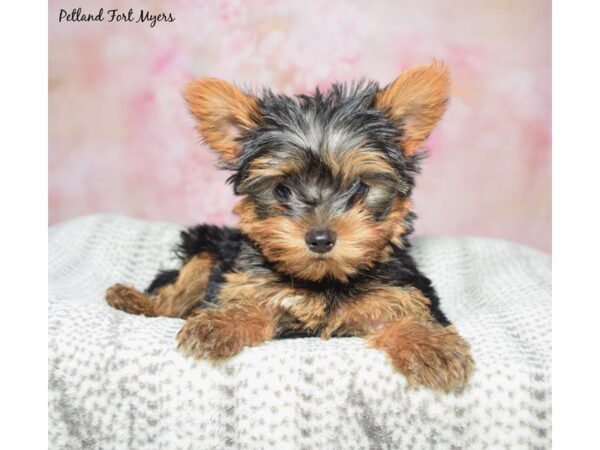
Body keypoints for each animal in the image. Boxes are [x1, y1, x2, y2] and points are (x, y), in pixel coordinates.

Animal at [106, 62, 474, 390]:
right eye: (282, 189)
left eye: (359, 188)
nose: (321, 238)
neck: (325, 281)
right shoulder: (252, 285)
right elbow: (246, 303)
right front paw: (219, 324)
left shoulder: (399, 290)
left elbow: (410, 314)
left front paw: (431, 346)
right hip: (208, 246)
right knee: (177, 288)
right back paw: (134, 300)